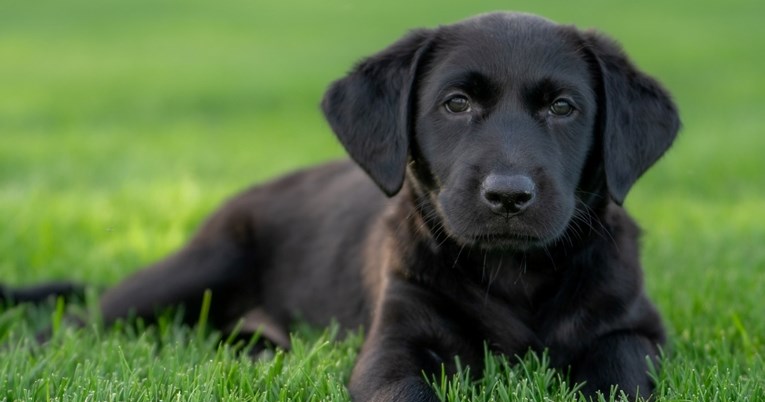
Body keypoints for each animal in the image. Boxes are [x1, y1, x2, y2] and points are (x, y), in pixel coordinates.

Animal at [2, 11, 676, 400]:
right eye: (456, 103)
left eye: (563, 108)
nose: (508, 195)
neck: (516, 276)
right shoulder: (394, 342)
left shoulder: (633, 327)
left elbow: (622, 372)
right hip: (196, 267)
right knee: (80, 322)